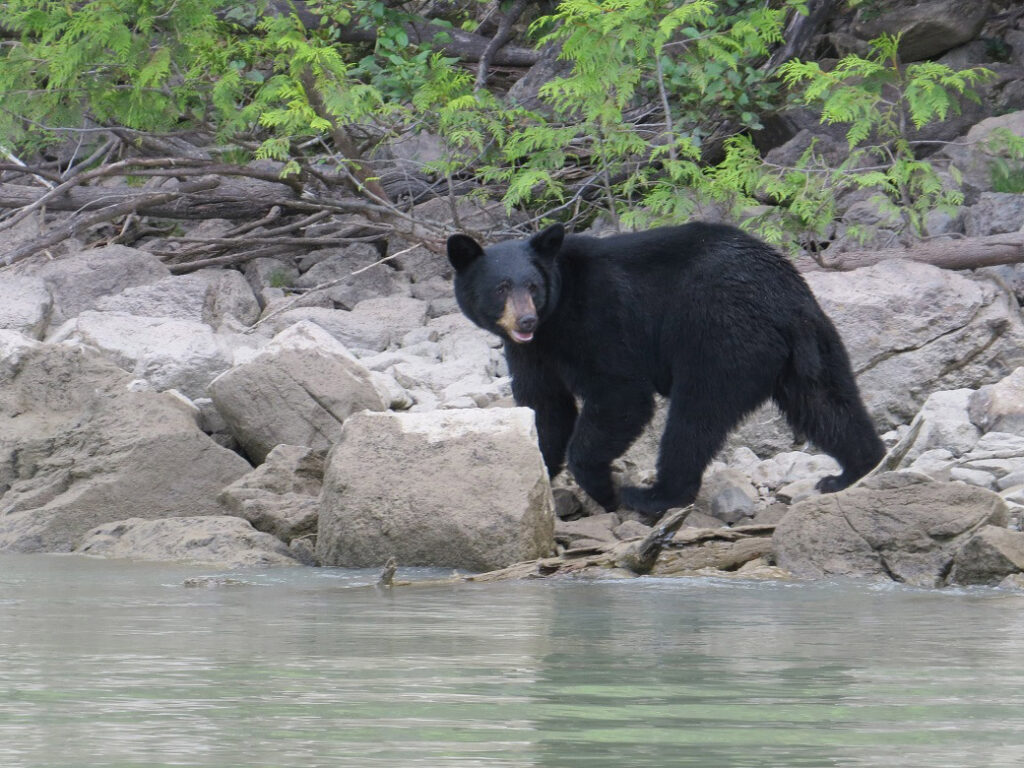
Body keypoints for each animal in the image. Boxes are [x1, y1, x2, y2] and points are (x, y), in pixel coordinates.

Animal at [448, 222, 888, 524]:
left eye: (533, 286)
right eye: (502, 287)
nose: (525, 319)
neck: (554, 319)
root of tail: (784, 300)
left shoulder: (597, 321)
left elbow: (620, 394)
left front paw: (603, 489)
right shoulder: (533, 351)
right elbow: (546, 408)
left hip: (720, 335)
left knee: (695, 416)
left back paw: (655, 495)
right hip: (812, 343)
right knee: (827, 402)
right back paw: (856, 469)